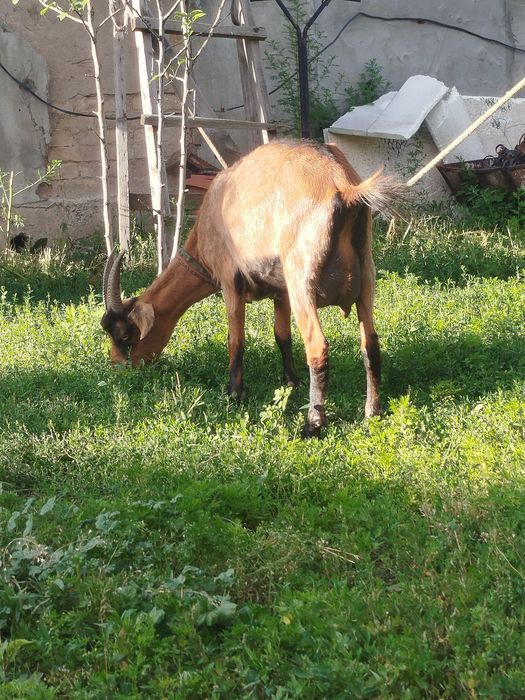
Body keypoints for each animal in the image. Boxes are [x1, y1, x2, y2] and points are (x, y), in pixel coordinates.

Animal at [101, 140, 398, 437]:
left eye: (125, 335)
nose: (117, 370)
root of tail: (342, 185)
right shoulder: (281, 290)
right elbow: (281, 335)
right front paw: (291, 382)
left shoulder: (230, 279)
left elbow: (236, 337)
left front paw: (234, 392)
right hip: (365, 273)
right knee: (370, 344)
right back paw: (372, 412)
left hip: (301, 277)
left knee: (317, 345)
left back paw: (313, 423)